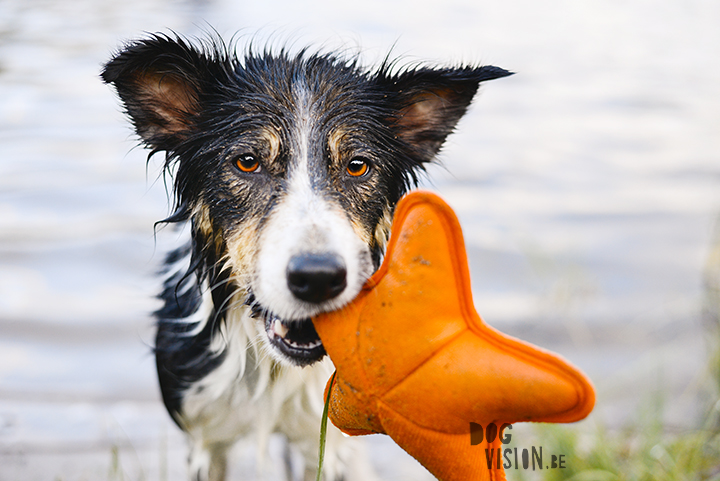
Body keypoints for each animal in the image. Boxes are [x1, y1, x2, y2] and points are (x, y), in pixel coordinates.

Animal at [101, 34, 510, 480]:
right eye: (247, 162)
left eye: (357, 166)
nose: (318, 278)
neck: (273, 367)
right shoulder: (203, 434)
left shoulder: (325, 434)